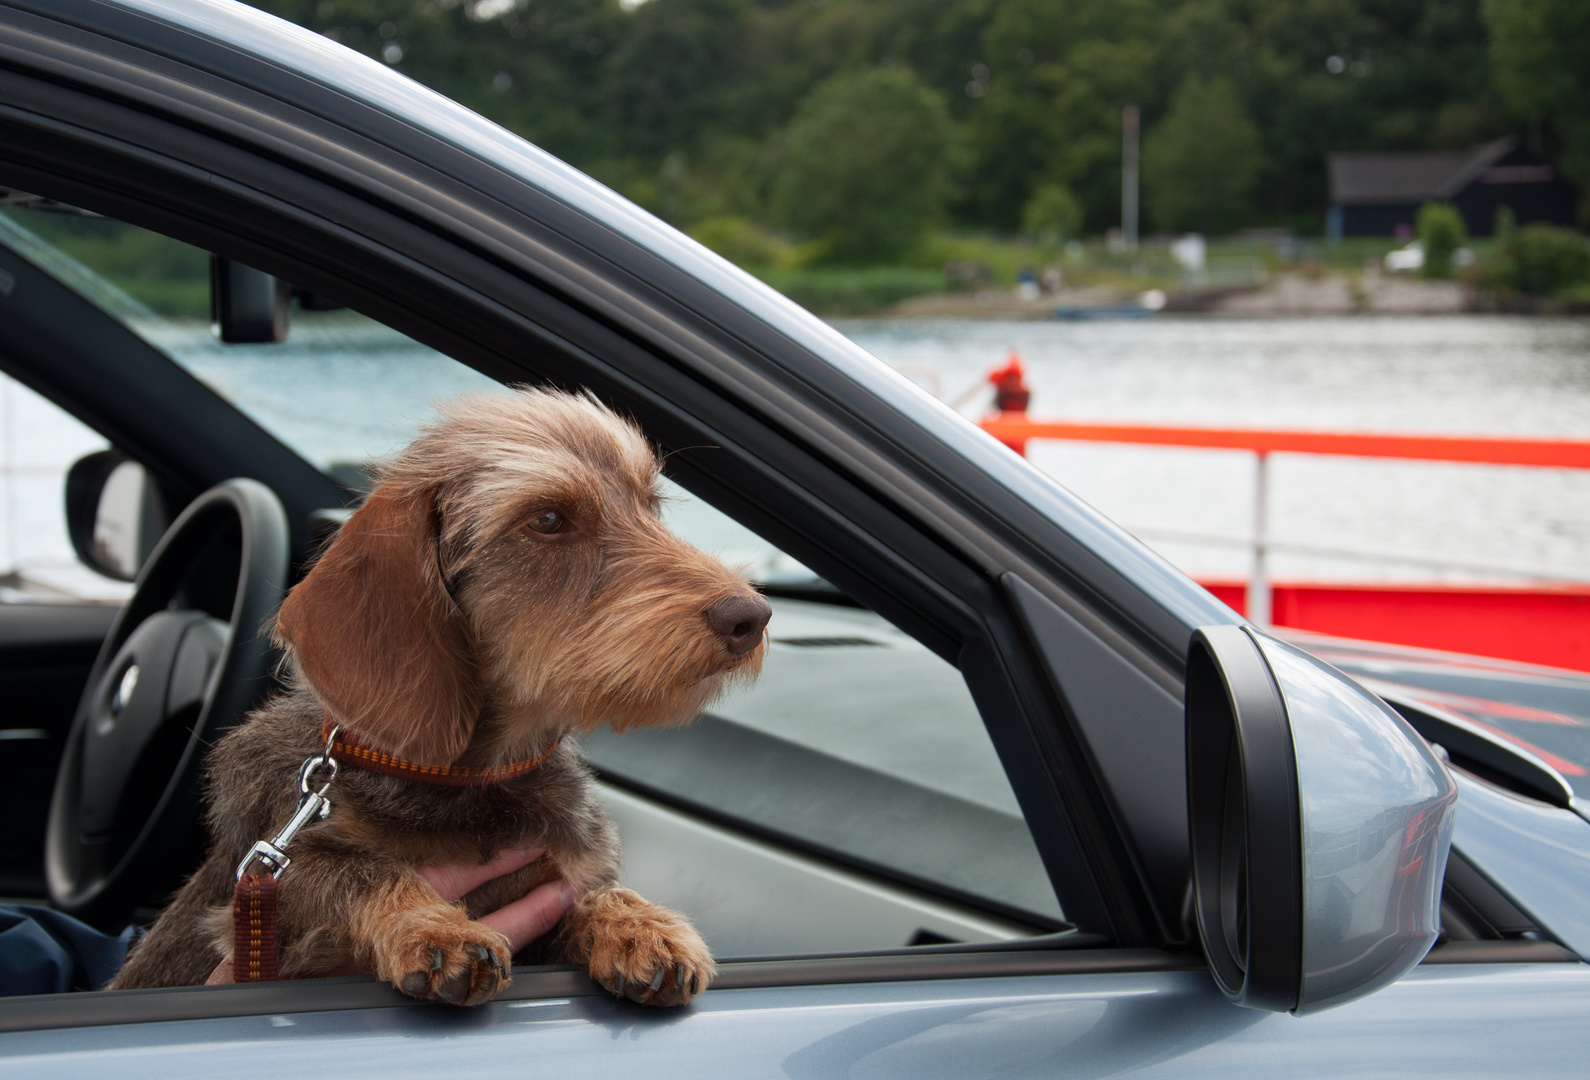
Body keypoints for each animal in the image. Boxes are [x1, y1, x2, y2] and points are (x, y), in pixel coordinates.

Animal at [112, 386, 769, 1005]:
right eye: (549, 519)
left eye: (650, 503)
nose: (751, 616)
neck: (472, 777)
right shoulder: (269, 877)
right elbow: (358, 870)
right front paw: (433, 926)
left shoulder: (556, 880)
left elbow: (587, 893)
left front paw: (636, 923)